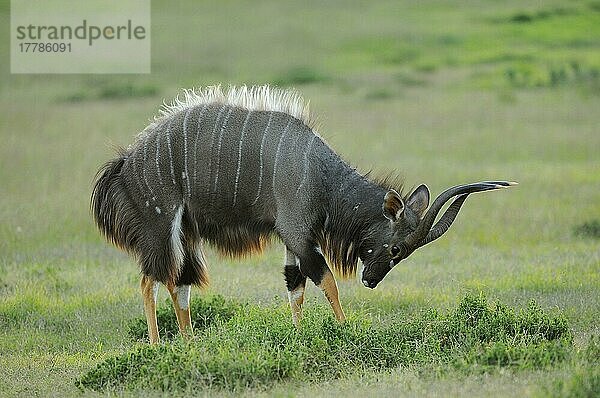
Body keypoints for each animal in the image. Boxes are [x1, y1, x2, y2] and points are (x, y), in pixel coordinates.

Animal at [91, 85, 512, 344]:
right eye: (395, 249)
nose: (371, 281)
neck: (318, 172)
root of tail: (127, 162)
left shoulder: (292, 243)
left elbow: (295, 289)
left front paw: (297, 337)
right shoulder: (298, 235)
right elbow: (326, 281)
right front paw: (346, 331)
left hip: (188, 235)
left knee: (180, 285)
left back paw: (191, 342)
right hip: (162, 228)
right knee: (151, 281)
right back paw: (157, 346)